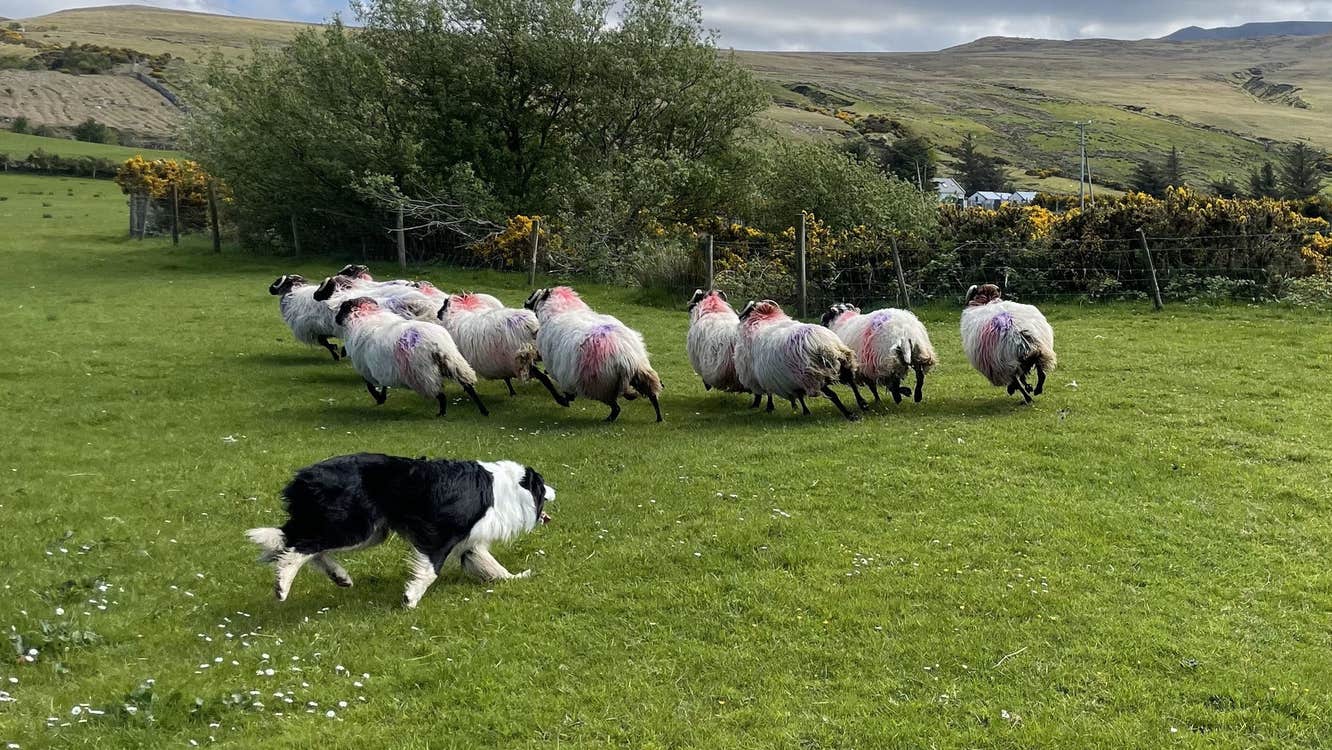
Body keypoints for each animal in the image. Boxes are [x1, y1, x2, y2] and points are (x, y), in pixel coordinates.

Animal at [335, 296, 488, 417]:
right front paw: (382, 397)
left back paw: (441, 413)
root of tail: (436, 343)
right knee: (468, 387)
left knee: (440, 394)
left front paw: (379, 398)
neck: (365, 316)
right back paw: (483, 410)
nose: (336, 319)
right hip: (454, 363)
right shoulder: (384, 368)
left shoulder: (367, 368)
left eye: (342, 308)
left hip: (423, 374)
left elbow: (370, 386)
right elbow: (383, 384)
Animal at [437, 292, 568, 405]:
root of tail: (531, 326)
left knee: (544, 377)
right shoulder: (501, 360)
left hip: (522, 356)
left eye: (444, 303)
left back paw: (562, 399)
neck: (455, 316)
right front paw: (512, 392)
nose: (437, 313)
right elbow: (506, 378)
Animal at [524, 286, 663, 423]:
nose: (524, 304)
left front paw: (565, 399)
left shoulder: (562, 370)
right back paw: (659, 418)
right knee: (652, 395)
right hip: (641, 374)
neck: (563, 310)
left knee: (616, 407)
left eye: (533, 296)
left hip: (600, 385)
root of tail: (626, 357)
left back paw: (607, 419)